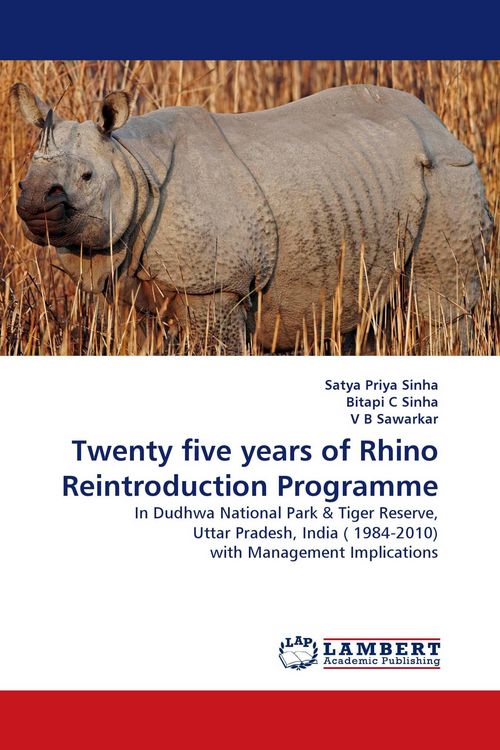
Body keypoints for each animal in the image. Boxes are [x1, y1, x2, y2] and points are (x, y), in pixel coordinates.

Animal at [11, 82, 493, 353]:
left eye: (87, 176)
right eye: (24, 177)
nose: (33, 202)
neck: (131, 162)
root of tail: (442, 128)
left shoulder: (215, 286)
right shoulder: (125, 287)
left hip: (448, 178)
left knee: (440, 313)